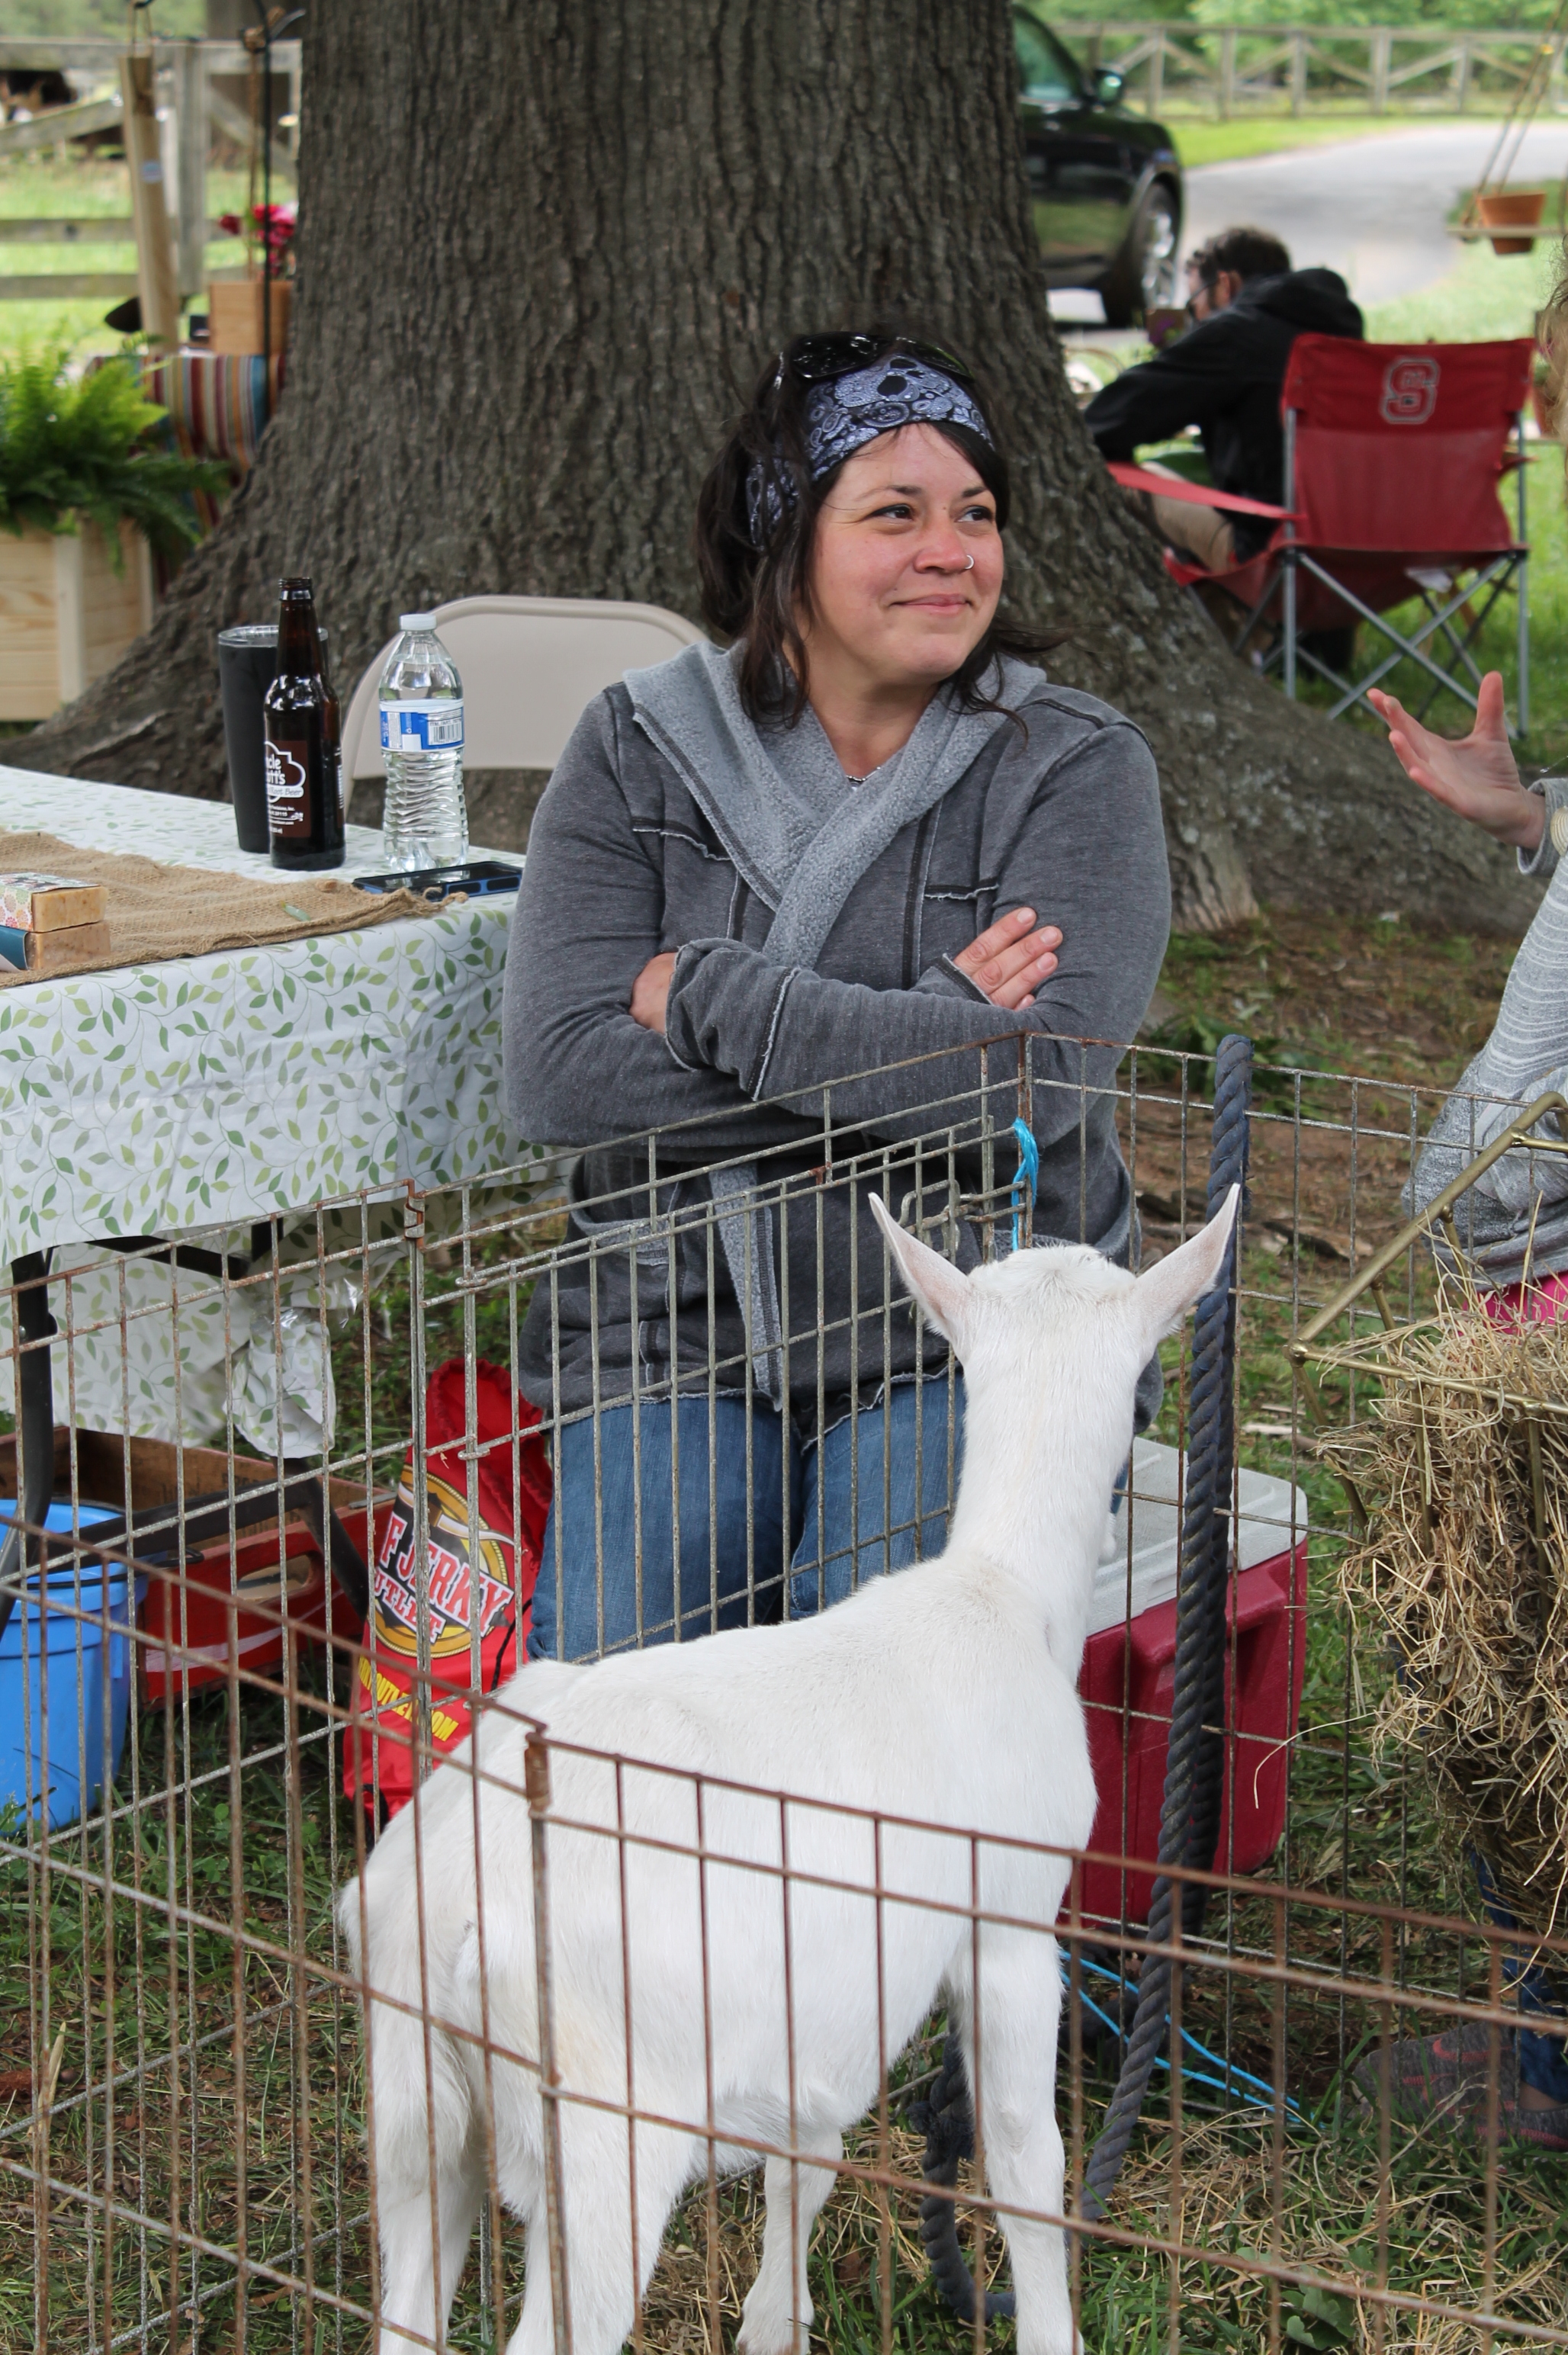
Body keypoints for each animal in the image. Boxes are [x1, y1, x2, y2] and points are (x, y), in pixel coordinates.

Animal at [339, 1187, 1233, 2355]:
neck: (1001, 1594)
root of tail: (445, 1901)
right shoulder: (1010, 1919)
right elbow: (1024, 2162)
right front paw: (1049, 2328)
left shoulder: (821, 2004)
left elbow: (805, 2159)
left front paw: (774, 2320)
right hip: (602, 2121)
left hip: (415, 2105)